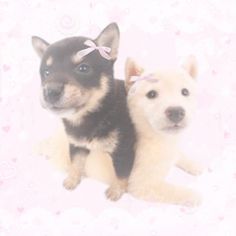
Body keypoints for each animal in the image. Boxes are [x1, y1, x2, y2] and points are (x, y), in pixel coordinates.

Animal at [32, 23, 136, 200]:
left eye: (83, 68)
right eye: (46, 72)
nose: (50, 91)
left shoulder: (124, 149)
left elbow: (121, 173)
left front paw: (116, 190)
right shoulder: (76, 145)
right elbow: (76, 164)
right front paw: (72, 180)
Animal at [125, 56, 203, 206]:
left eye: (185, 92)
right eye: (151, 94)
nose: (176, 112)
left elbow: (180, 154)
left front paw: (195, 165)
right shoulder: (142, 184)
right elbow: (176, 192)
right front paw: (194, 195)